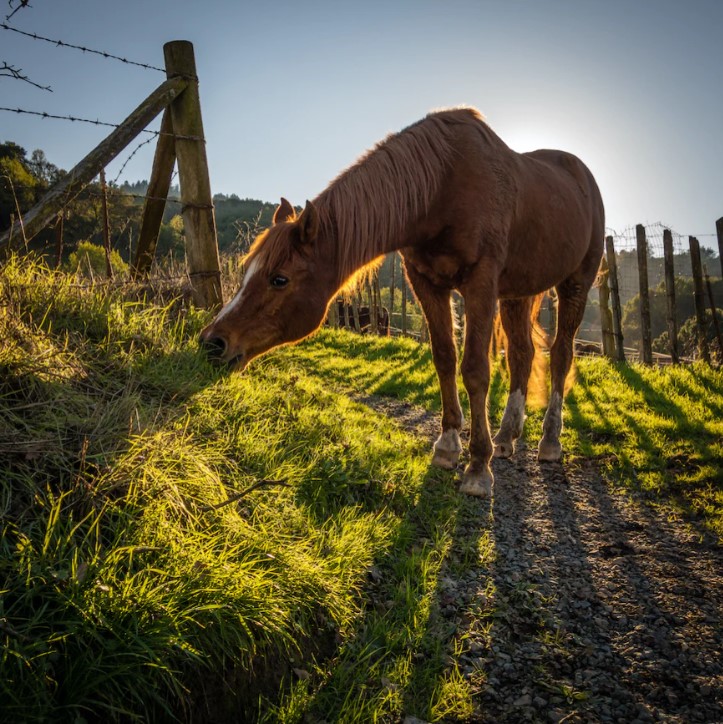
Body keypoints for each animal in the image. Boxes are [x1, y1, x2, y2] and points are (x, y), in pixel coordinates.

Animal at [199, 107, 604, 498]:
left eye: (279, 279)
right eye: (246, 270)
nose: (212, 342)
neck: (442, 187)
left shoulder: (480, 283)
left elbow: (475, 369)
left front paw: (477, 468)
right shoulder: (426, 283)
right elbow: (444, 359)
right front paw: (447, 446)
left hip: (575, 284)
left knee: (561, 354)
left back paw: (550, 441)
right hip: (518, 293)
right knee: (523, 353)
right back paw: (506, 437)